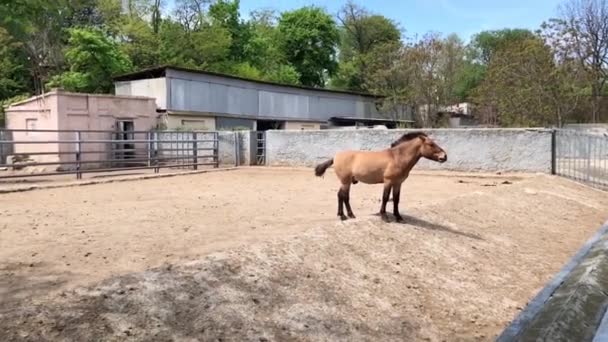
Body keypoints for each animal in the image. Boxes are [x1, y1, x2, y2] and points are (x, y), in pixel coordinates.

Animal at [314, 131, 446, 222]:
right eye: (431, 144)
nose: (444, 156)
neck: (396, 158)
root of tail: (335, 157)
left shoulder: (398, 183)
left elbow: (396, 199)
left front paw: (398, 217)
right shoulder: (388, 182)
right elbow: (385, 198)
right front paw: (384, 216)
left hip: (346, 182)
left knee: (340, 195)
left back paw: (344, 215)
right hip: (345, 181)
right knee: (344, 196)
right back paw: (347, 215)